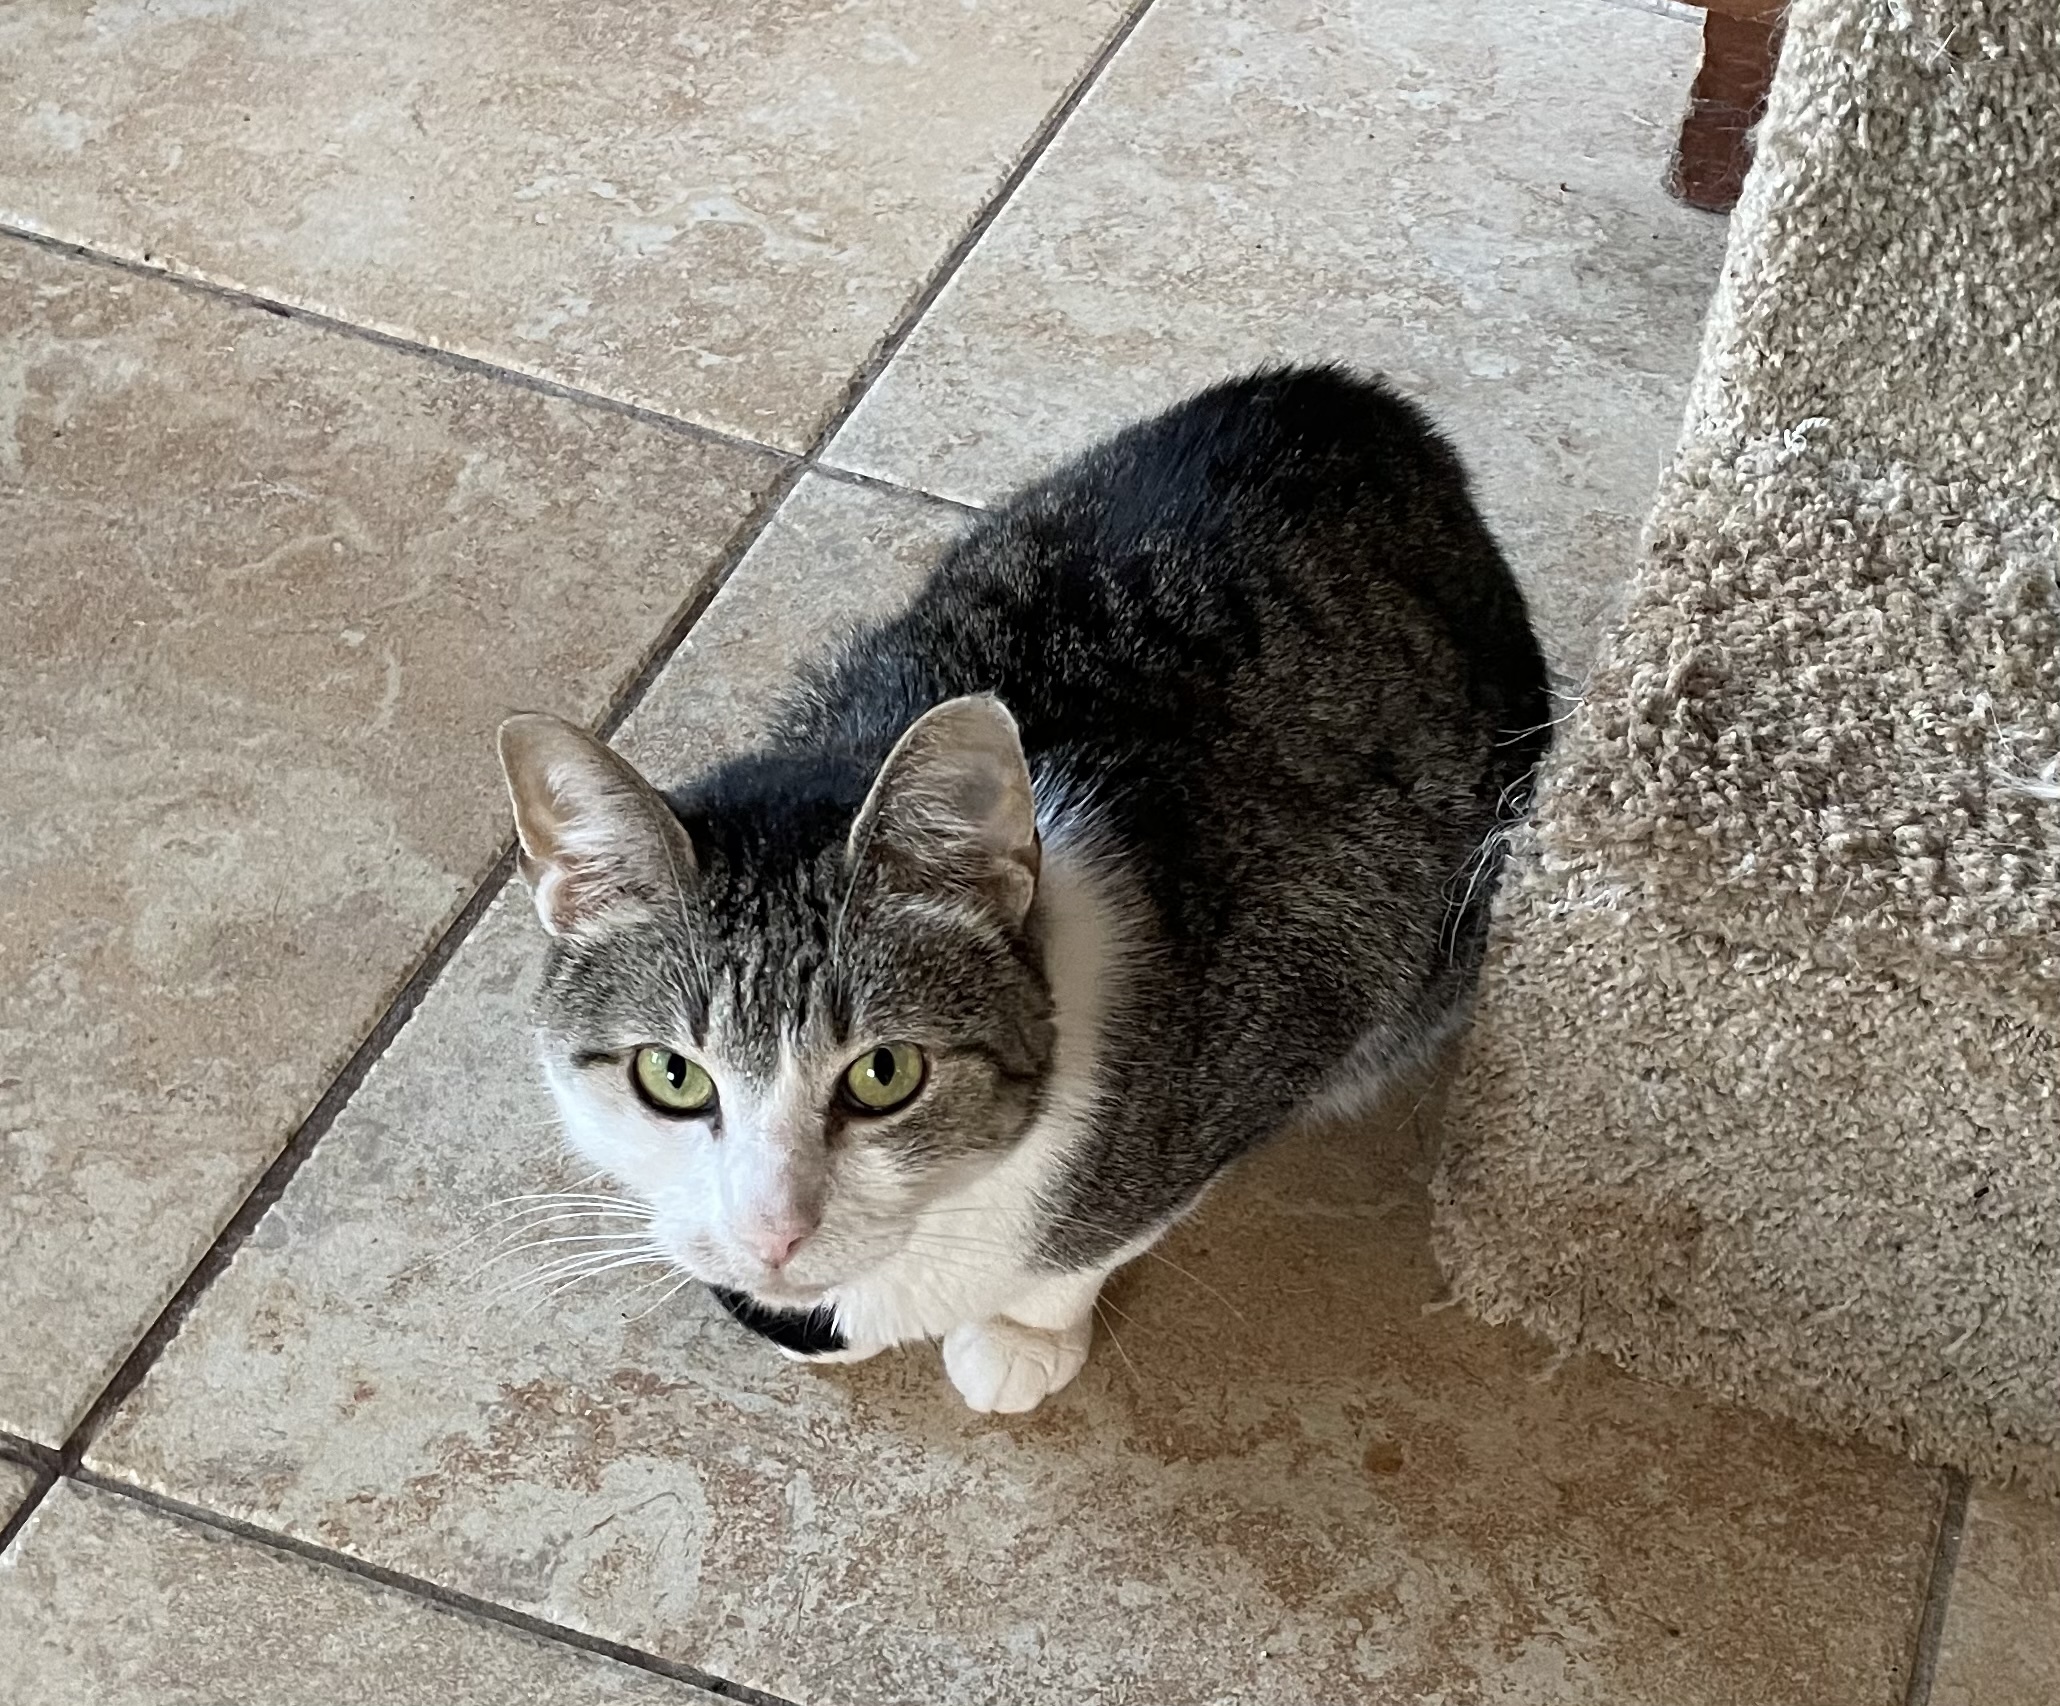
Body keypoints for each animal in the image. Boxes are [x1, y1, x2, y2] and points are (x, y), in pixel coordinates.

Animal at [494, 370, 1549, 1409]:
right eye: (671, 1077)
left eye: (884, 1073)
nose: (773, 1235)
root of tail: (1359, 401)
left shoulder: (1306, 990)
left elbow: (1100, 1236)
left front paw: (1020, 1331)